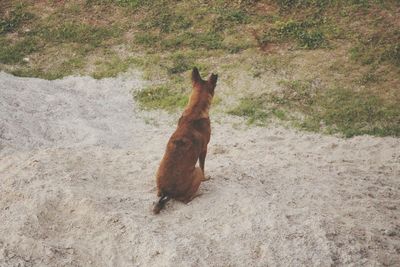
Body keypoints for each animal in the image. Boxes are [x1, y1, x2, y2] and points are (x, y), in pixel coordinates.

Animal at [152, 68, 217, 215]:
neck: (195, 109)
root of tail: (168, 192)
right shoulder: (204, 149)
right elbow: (204, 167)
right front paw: (206, 178)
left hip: (158, 177)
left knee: (159, 193)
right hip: (196, 171)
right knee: (186, 200)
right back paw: (199, 194)